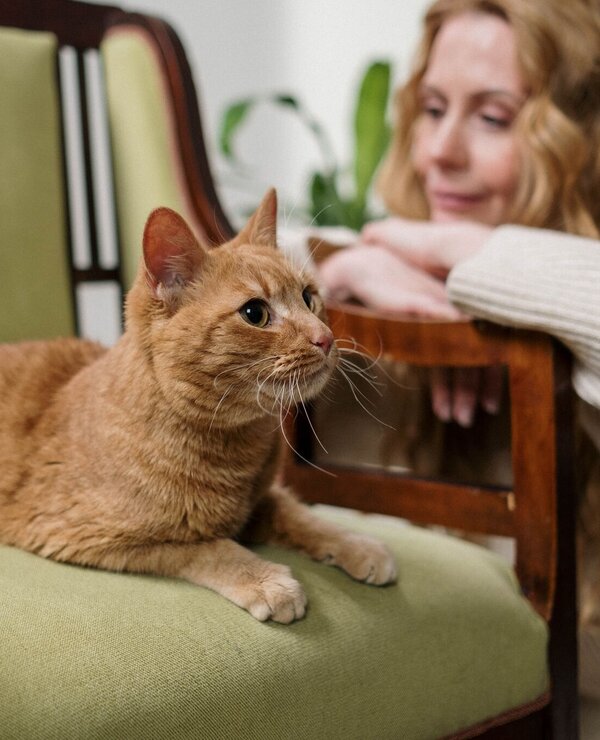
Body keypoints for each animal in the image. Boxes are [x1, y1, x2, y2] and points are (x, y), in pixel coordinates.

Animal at [1, 189, 398, 620]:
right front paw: (267, 581)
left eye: (309, 298)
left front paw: (357, 543)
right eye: (255, 313)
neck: (234, 448)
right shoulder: (91, 537)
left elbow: (303, 516)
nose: (324, 338)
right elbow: (208, 548)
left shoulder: (262, 500)